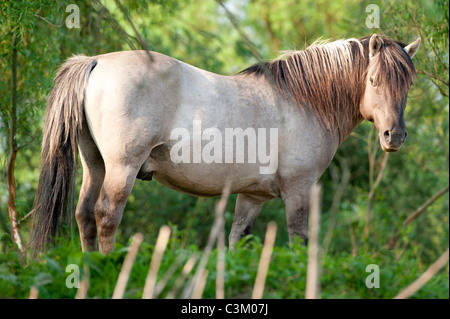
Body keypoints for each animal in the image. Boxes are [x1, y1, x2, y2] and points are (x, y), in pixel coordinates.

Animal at [29, 34, 420, 255]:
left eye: (408, 84)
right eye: (374, 79)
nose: (395, 136)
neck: (303, 101)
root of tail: (95, 61)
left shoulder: (251, 196)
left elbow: (238, 240)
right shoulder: (299, 190)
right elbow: (298, 240)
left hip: (95, 165)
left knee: (84, 216)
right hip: (121, 169)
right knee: (106, 216)